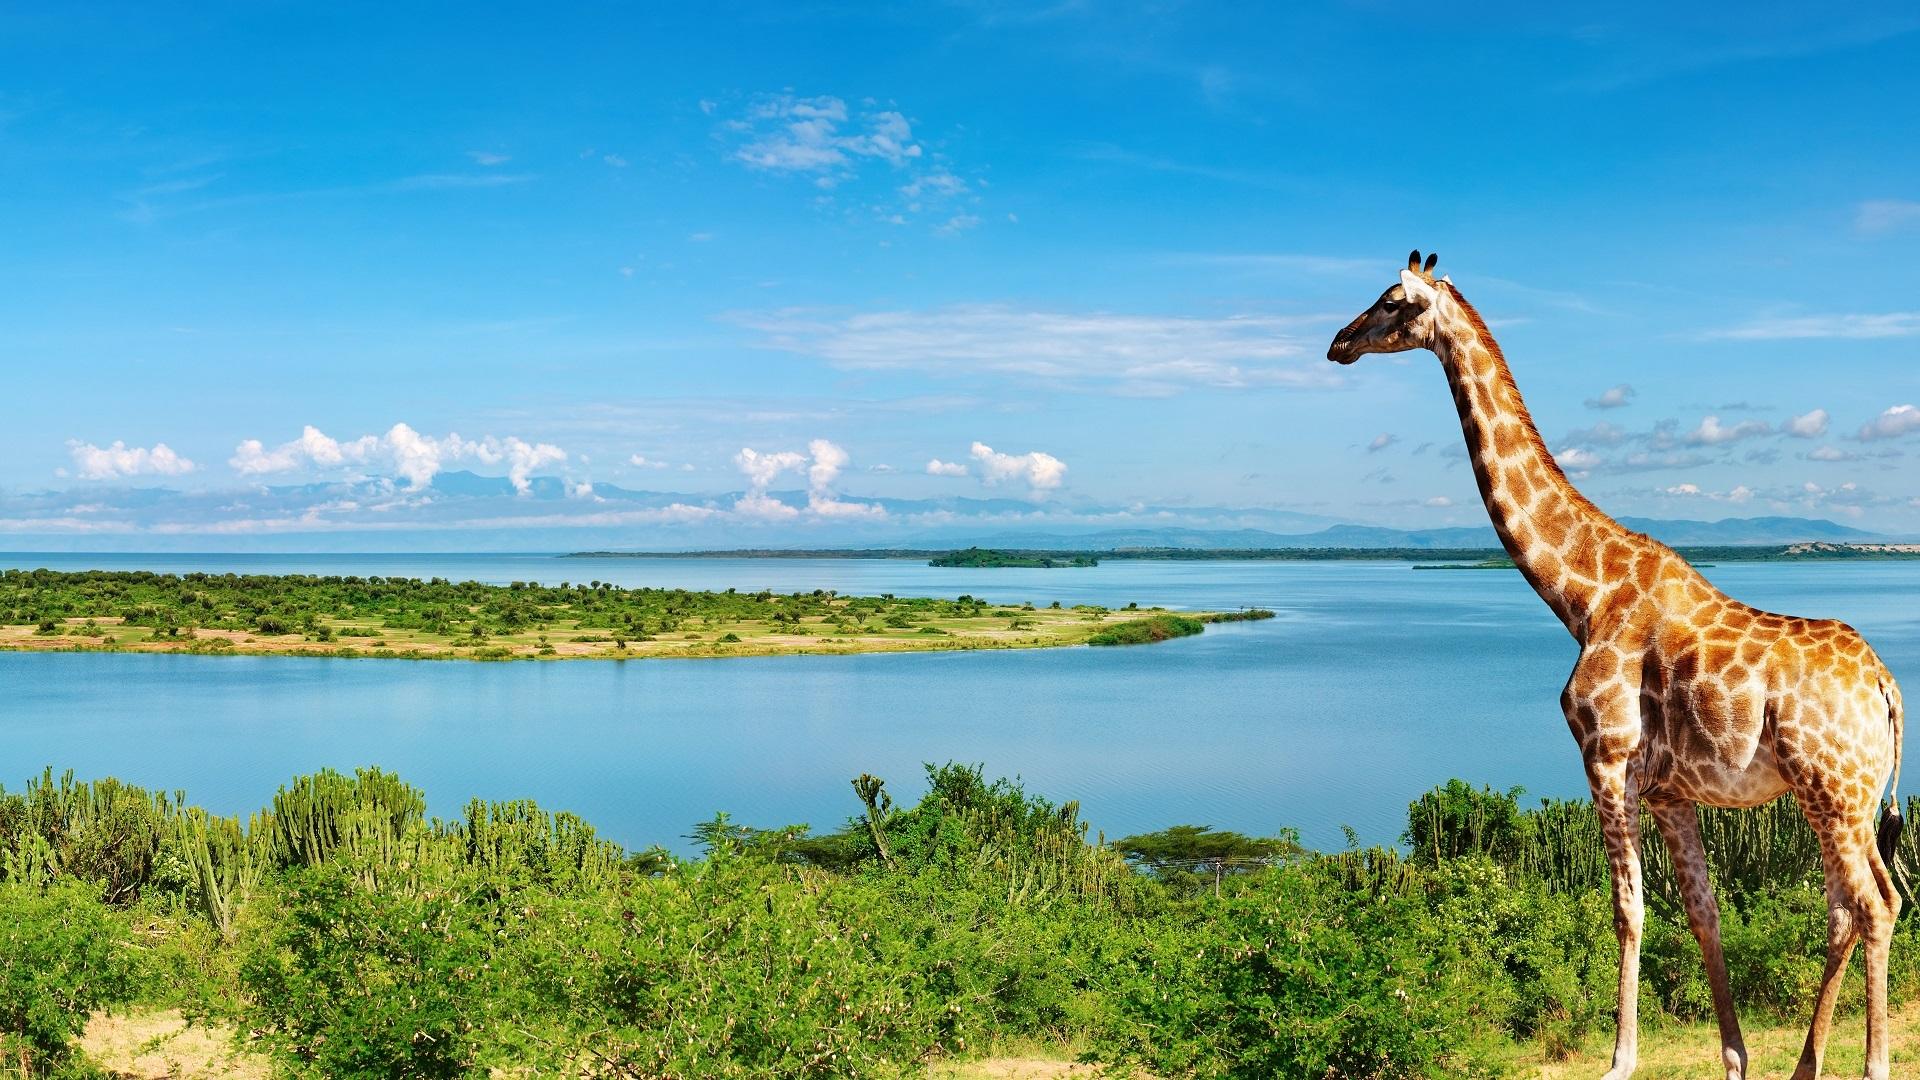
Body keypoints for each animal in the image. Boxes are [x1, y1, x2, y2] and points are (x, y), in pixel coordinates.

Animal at [1327, 252, 1906, 1080]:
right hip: (1830, 797)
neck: (1582, 594)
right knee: (1846, 908)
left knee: (1877, 905)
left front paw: (1619, 1059)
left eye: (1390, 301)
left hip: (1836, 789)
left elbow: (1628, 910)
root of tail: (1887, 686)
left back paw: (1871, 1065)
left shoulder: (1606, 756)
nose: (1338, 344)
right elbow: (1702, 912)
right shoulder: (1669, 791)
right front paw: (1735, 1058)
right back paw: (1806, 1065)